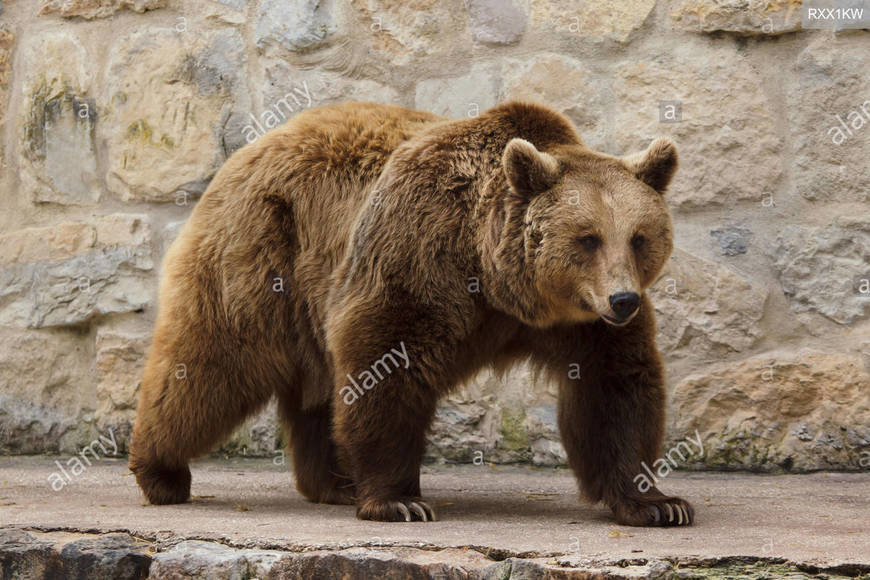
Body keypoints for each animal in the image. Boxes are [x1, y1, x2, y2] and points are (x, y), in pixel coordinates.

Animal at [129, 99, 696, 524]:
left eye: (639, 237)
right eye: (588, 238)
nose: (623, 300)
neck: (499, 279)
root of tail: (247, 150)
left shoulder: (582, 324)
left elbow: (615, 386)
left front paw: (658, 503)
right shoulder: (419, 255)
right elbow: (386, 362)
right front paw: (399, 500)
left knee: (316, 384)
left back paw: (334, 482)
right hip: (264, 249)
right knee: (211, 361)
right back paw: (161, 472)